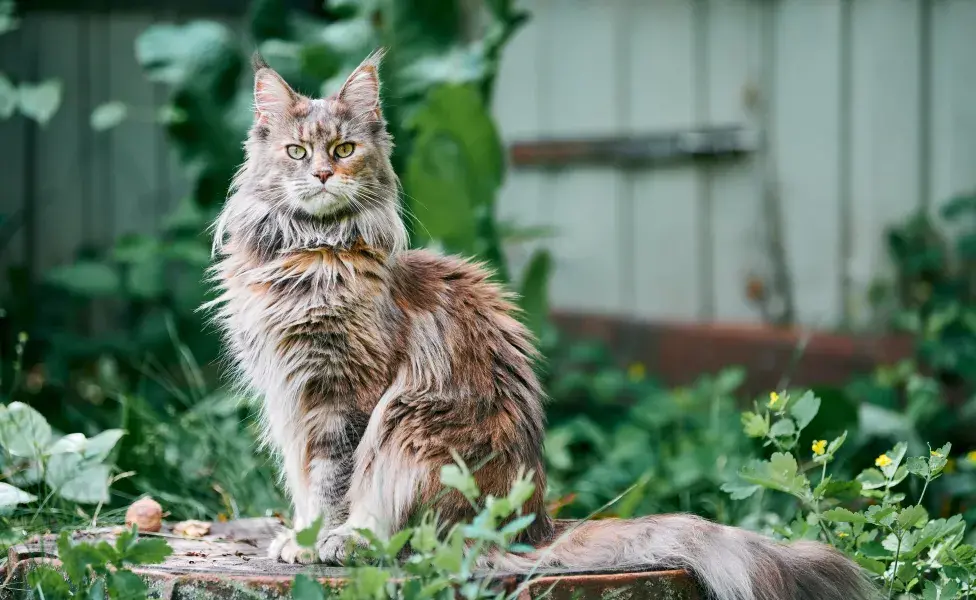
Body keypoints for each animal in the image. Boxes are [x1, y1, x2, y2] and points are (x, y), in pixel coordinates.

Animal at [206, 51, 876, 600]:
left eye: (344, 151)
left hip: (409, 426)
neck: (308, 255)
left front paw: (324, 540)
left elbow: (335, 484)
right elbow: (307, 486)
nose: (322, 175)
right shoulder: (292, 398)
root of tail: (535, 527)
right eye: (297, 153)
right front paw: (297, 536)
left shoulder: (344, 398)